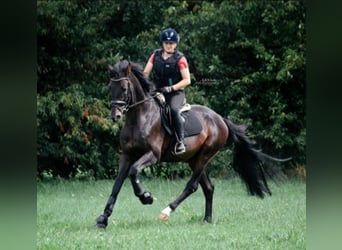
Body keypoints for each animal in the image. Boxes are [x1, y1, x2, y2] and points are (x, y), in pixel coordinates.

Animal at [95, 60, 288, 229]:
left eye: (124, 88)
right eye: (110, 88)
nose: (115, 116)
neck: (139, 118)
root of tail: (220, 119)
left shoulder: (152, 155)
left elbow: (134, 172)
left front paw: (146, 197)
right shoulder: (126, 156)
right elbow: (117, 184)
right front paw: (103, 218)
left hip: (205, 155)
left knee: (192, 186)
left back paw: (167, 211)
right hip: (194, 159)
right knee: (208, 188)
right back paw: (207, 219)